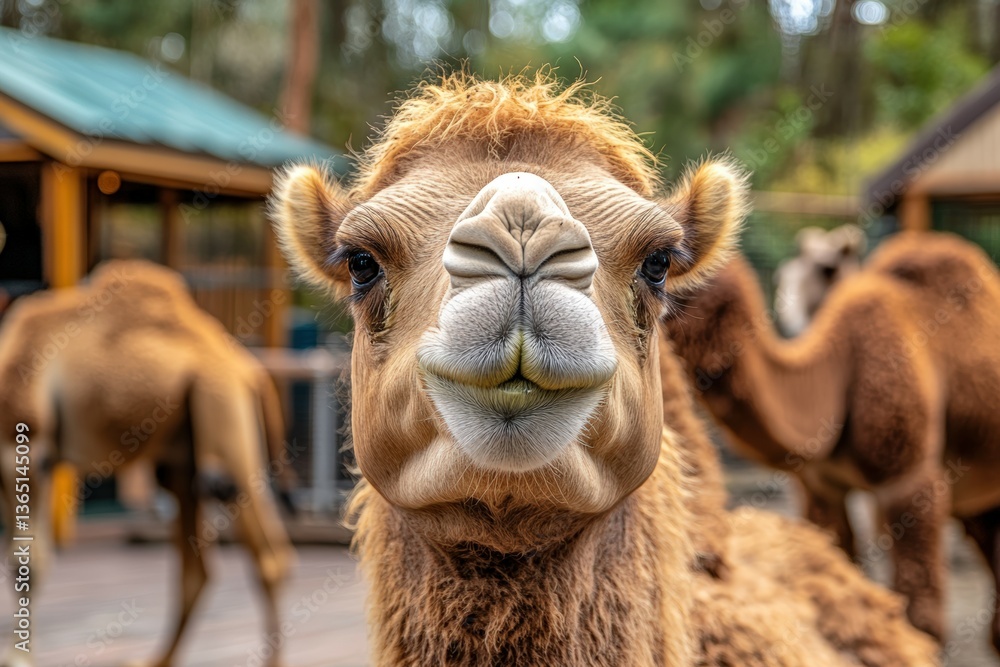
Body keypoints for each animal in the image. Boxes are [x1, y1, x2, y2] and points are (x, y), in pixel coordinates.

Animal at [0, 260, 295, 667]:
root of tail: (249, 370)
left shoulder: (27, 448)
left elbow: (25, 560)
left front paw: (18, 656)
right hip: (181, 462)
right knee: (196, 571)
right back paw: (154, 660)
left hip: (224, 418)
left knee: (267, 556)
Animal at [668, 231, 1000, 649]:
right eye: (783, 277)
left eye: (661, 264)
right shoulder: (823, 489)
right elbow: (837, 577)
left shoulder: (909, 480)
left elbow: (922, 620)